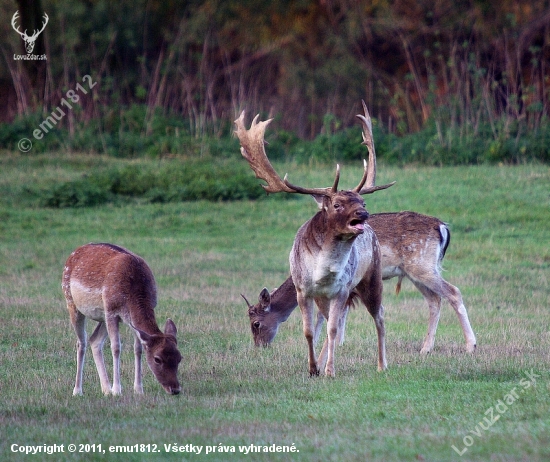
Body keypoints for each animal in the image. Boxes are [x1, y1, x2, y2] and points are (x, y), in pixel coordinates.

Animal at [62, 244, 183, 396]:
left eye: (179, 358)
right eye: (157, 359)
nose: (175, 389)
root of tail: (74, 252)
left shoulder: (130, 319)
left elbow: (138, 348)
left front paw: (138, 390)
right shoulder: (112, 311)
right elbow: (116, 347)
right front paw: (117, 390)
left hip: (103, 317)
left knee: (94, 340)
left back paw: (106, 390)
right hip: (71, 301)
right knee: (81, 342)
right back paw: (78, 391)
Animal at [235, 101, 394, 376]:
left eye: (362, 202)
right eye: (338, 204)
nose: (364, 214)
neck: (322, 271)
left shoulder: (342, 290)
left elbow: (332, 330)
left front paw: (329, 371)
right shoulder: (304, 290)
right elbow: (310, 331)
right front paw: (312, 369)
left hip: (372, 280)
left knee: (379, 317)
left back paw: (382, 365)